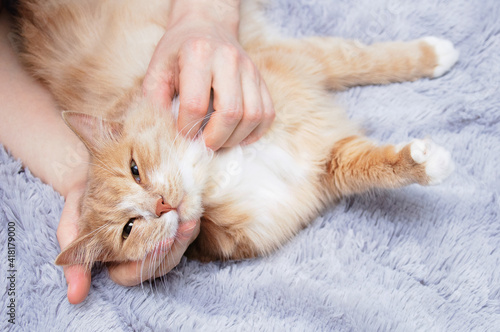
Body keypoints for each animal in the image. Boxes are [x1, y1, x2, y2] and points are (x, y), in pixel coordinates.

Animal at [11, 0, 458, 268]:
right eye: (129, 228)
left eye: (134, 169)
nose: (161, 206)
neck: (219, 171)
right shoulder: (322, 168)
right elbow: (371, 167)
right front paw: (422, 162)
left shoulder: (295, 63)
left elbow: (364, 59)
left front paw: (436, 54)